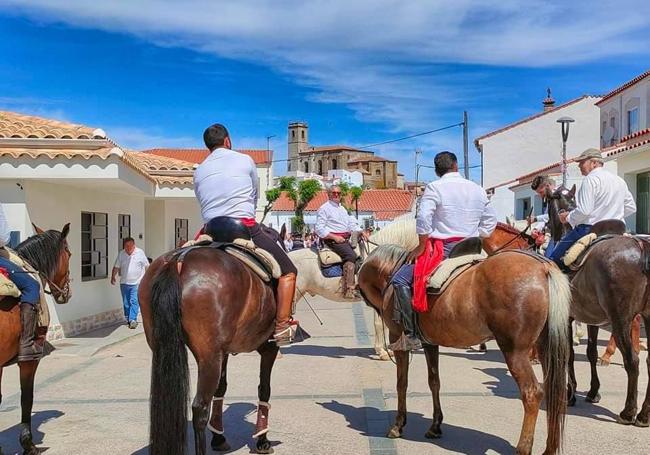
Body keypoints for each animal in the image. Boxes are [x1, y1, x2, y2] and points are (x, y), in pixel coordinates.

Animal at [139, 248, 280, 455]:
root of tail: (177, 260)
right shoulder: (269, 348)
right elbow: (265, 389)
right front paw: (262, 439)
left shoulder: (224, 351)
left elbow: (221, 388)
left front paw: (219, 437)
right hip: (209, 357)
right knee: (200, 408)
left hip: (163, 350)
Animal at [356, 224, 568, 452]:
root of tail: (543, 267)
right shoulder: (430, 343)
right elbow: (434, 381)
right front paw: (435, 425)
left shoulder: (398, 338)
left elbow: (401, 383)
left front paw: (398, 425)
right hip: (546, 349)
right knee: (554, 392)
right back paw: (549, 448)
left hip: (515, 351)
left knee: (532, 393)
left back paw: (523, 447)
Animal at [544, 185, 644, 428]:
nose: (545, 227)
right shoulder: (591, 318)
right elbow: (589, 352)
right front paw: (592, 391)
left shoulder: (567, 317)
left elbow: (569, 354)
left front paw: (570, 394)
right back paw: (644, 415)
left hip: (621, 320)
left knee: (632, 361)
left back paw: (629, 412)